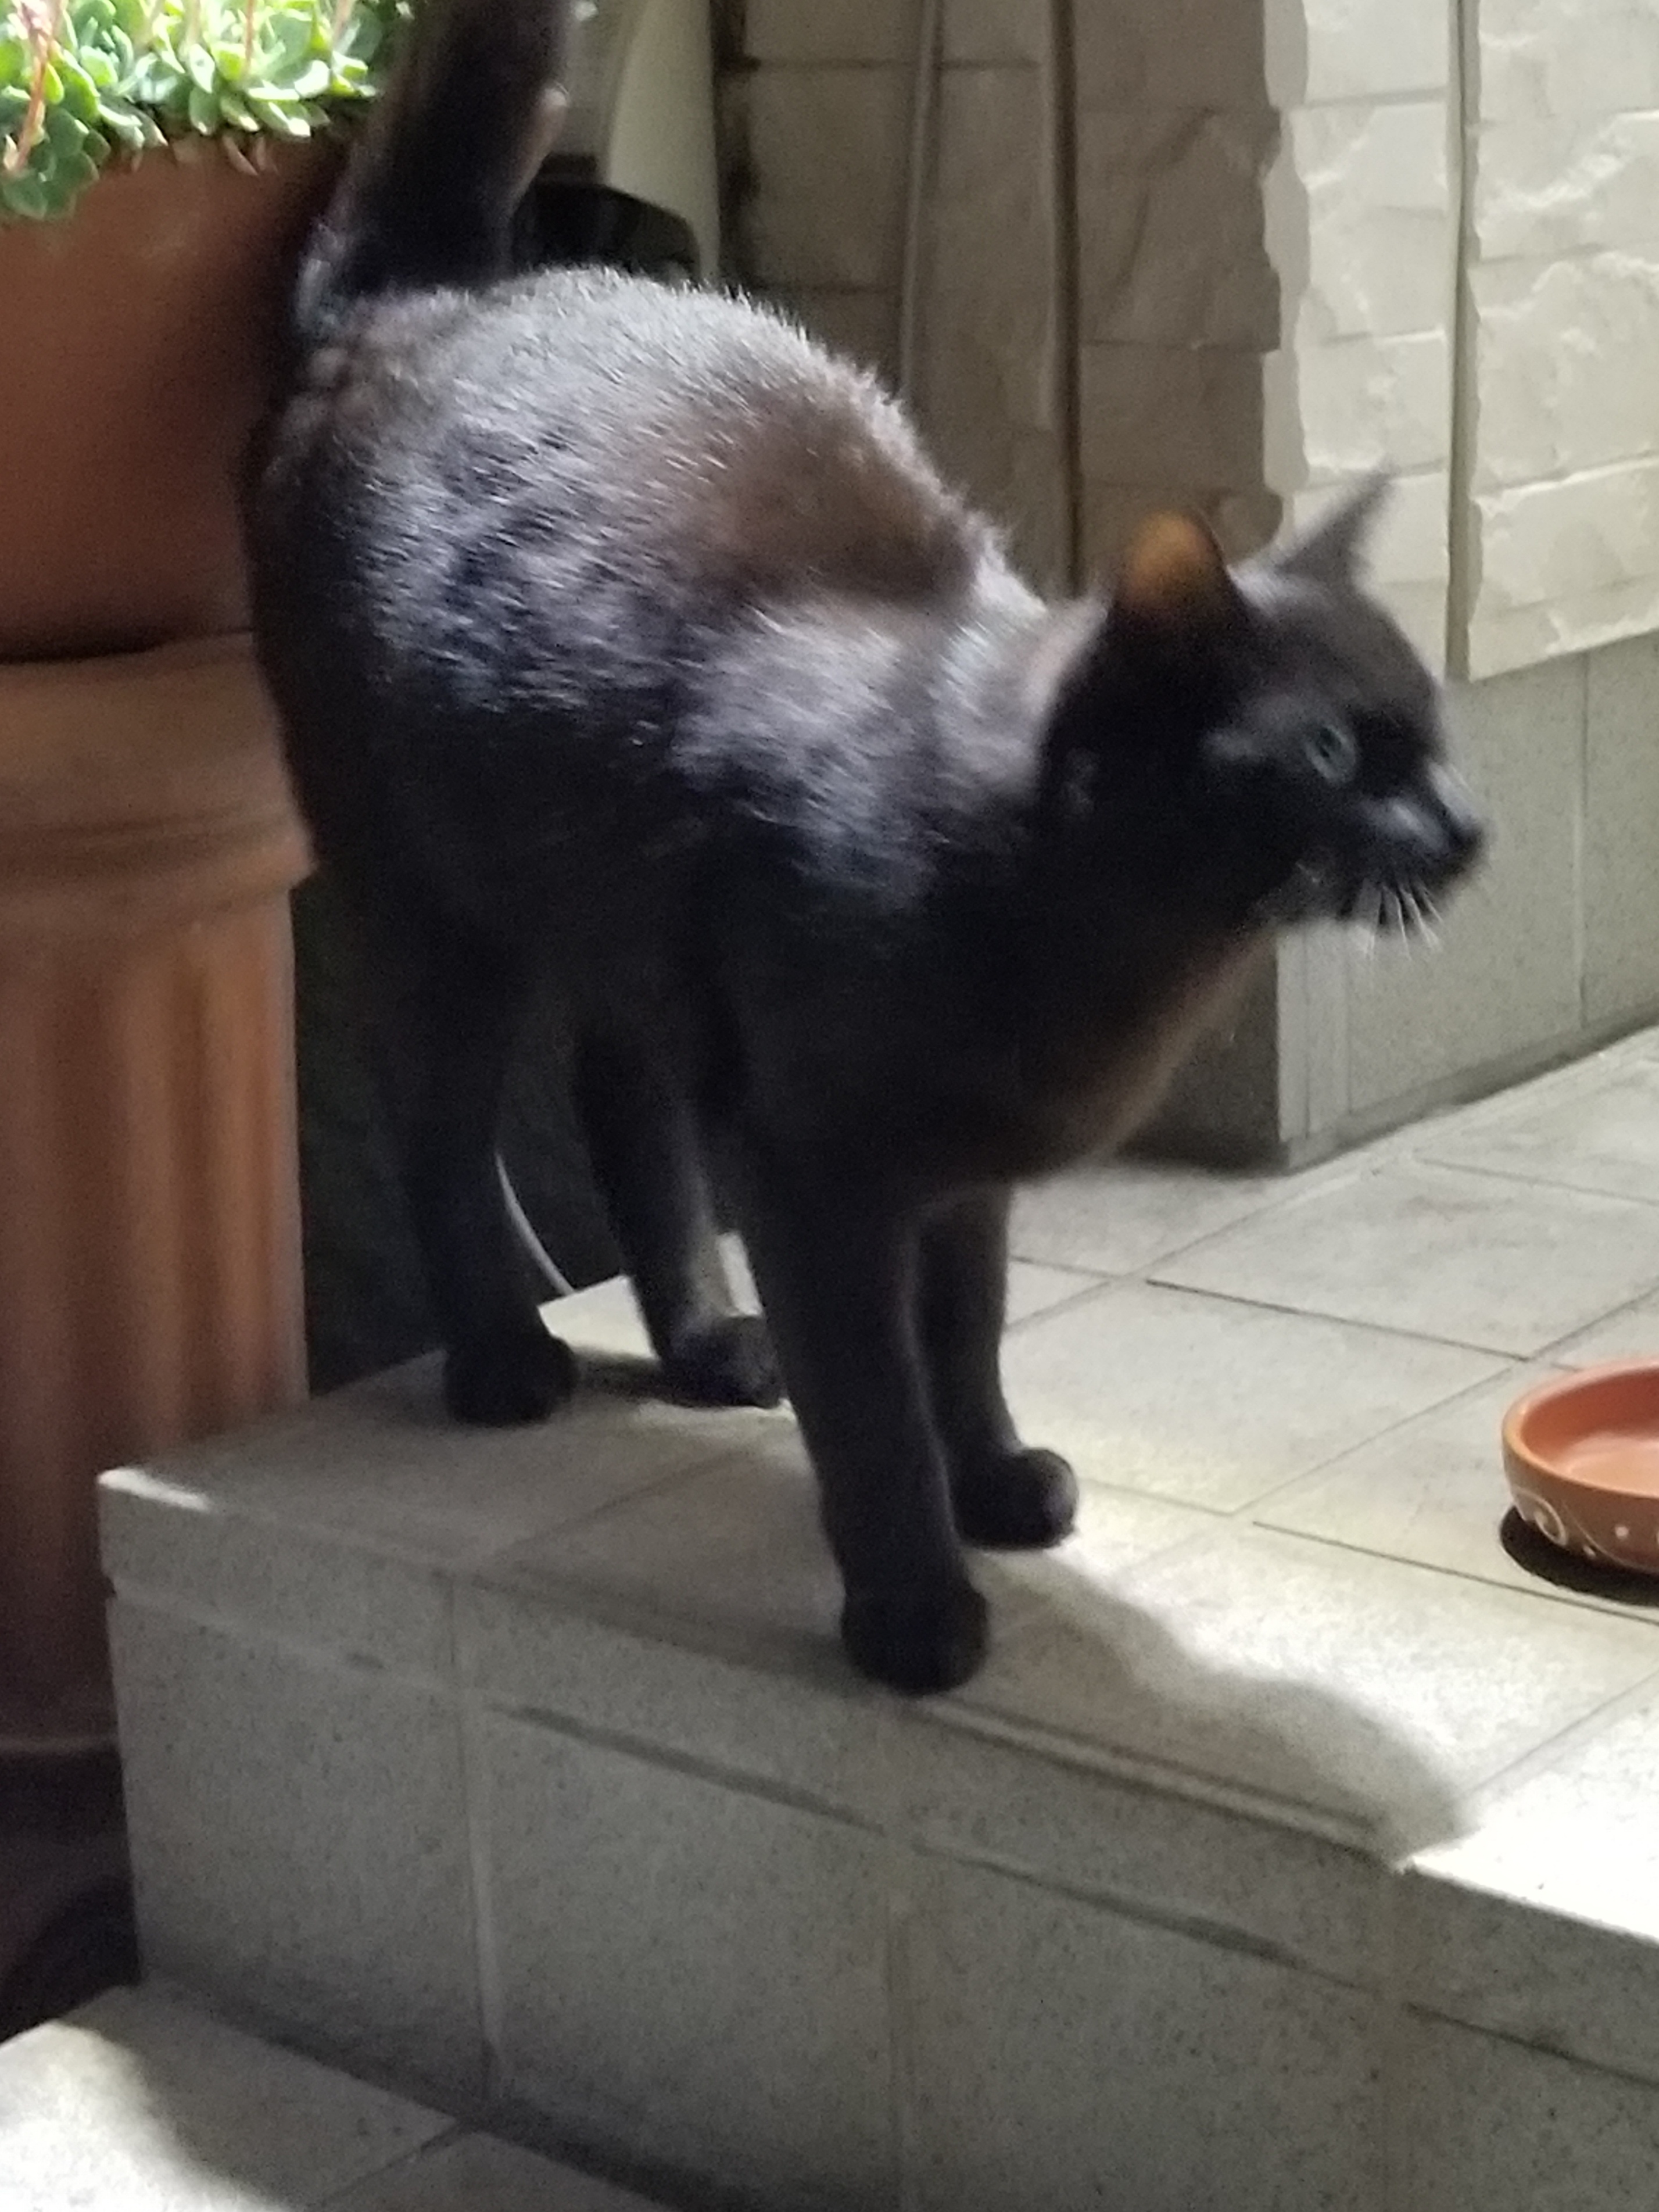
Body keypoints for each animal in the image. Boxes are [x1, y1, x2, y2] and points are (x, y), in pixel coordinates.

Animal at [243, 0, 1484, 1695]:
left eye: (1430, 730)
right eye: (1332, 755)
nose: (1463, 825)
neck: (1109, 944)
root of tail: (418, 300)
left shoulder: (962, 1180)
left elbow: (961, 1340)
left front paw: (994, 1482)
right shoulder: (813, 1172)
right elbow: (871, 1404)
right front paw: (913, 1608)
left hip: (620, 926)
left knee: (623, 1105)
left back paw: (705, 1345)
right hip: (439, 906)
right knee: (441, 1122)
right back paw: (502, 1360)